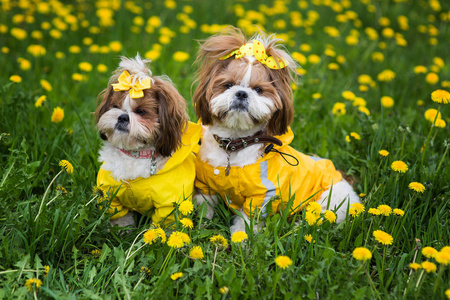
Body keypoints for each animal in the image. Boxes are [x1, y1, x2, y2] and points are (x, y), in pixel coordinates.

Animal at [94, 54, 200, 227]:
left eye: (141, 111)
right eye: (114, 106)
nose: (122, 116)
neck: (135, 154)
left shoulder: (169, 204)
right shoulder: (112, 196)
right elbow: (120, 218)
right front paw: (121, 230)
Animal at [192, 27, 360, 234]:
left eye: (258, 89)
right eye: (228, 85)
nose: (242, 93)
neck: (234, 144)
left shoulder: (262, 195)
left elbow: (247, 219)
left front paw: (240, 237)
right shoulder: (205, 184)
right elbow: (205, 205)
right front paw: (200, 225)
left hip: (330, 202)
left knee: (317, 220)